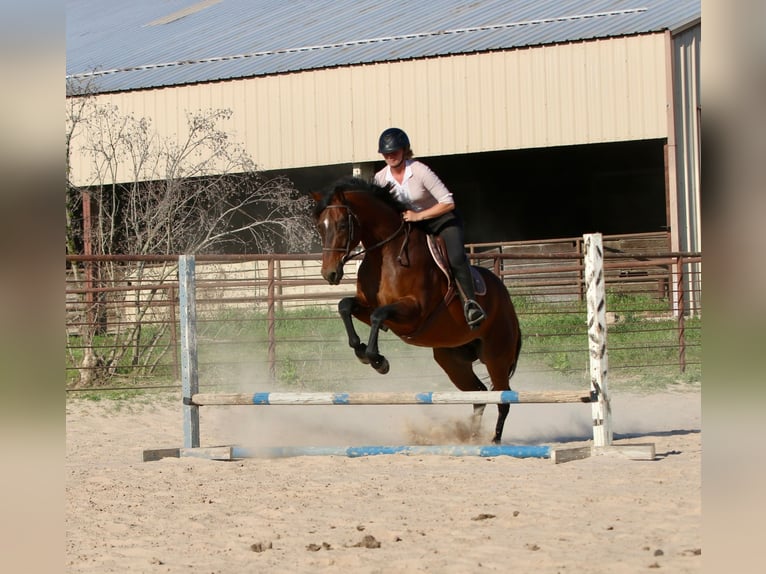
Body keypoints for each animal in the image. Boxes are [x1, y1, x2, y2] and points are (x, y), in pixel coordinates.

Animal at [310, 177, 522, 444]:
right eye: (320, 227)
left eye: (340, 225)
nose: (329, 274)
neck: (386, 254)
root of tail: (507, 300)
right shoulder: (368, 305)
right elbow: (345, 306)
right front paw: (361, 351)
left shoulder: (414, 312)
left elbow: (378, 316)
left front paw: (377, 360)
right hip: (452, 360)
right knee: (479, 395)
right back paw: (473, 439)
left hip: (496, 355)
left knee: (503, 398)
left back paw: (494, 441)